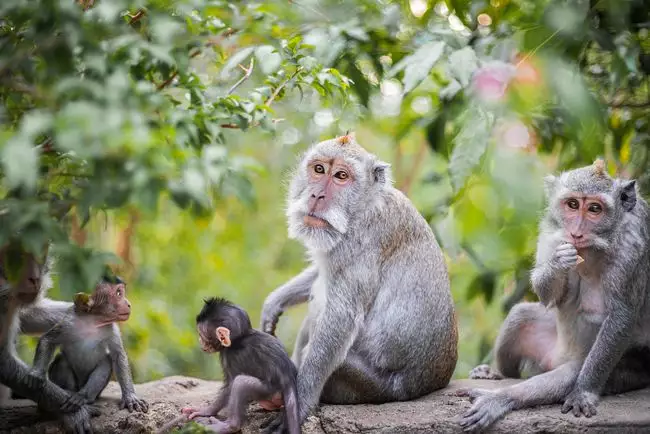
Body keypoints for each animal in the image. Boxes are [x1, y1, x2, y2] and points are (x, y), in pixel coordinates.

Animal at [28, 278, 147, 414]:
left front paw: (130, 397)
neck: (92, 321)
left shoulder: (113, 329)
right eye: (118, 294)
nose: (128, 304)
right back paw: (69, 392)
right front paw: (37, 374)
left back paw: (83, 397)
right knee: (62, 359)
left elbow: (118, 356)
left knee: (106, 362)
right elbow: (48, 340)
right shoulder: (68, 322)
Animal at [157, 298, 298, 434]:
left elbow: (230, 385)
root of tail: (289, 381)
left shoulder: (230, 355)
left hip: (270, 391)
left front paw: (206, 410)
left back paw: (229, 426)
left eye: (201, 335)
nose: (200, 341)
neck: (240, 337)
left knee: (240, 383)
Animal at [258, 134, 456, 432]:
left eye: (341, 176)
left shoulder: (361, 242)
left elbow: (341, 317)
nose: (316, 196)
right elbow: (321, 273)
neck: (361, 207)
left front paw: (299, 404)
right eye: (319, 169)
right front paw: (274, 302)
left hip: (369, 386)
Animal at [456, 161, 648, 432]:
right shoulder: (551, 231)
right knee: (521, 315)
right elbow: (550, 296)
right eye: (572, 204)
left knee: (571, 373)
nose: (576, 233)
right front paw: (558, 262)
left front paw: (583, 393)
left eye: (595, 209)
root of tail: (555, 359)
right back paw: (498, 374)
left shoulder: (632, 247)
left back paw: (502, 398)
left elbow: (622, 314)